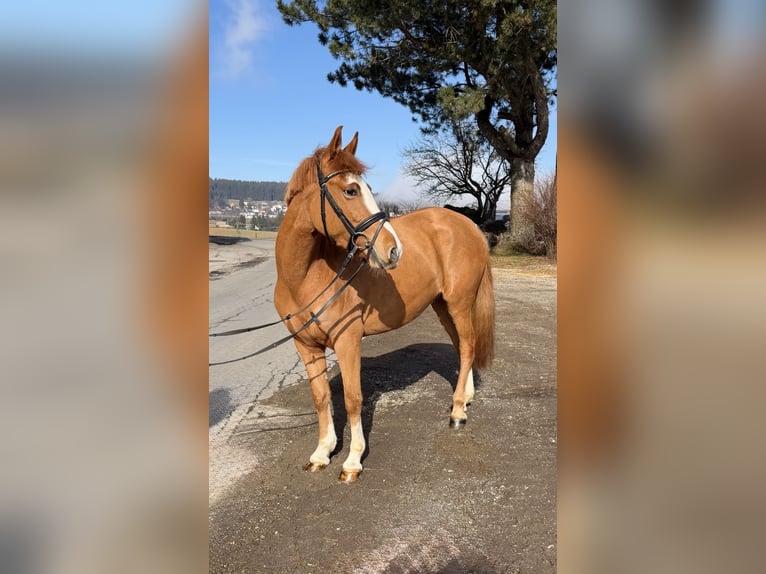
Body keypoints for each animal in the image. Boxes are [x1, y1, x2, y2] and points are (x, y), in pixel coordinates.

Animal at [274, 126, 495, 483]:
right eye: (350, 190)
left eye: (366, 188)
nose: (393, 250)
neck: (306, 276)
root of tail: (469, 226)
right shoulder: (305, 344)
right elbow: (321, 397)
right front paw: (322, 453)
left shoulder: (347, 341)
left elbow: (352, 398)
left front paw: (352, 461)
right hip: (443, 306)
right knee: (464, 346)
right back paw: (465, 399)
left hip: (459, 303)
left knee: (469, 345)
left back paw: (459, 412)